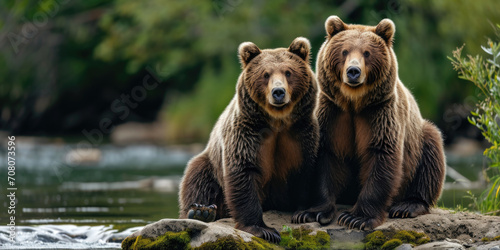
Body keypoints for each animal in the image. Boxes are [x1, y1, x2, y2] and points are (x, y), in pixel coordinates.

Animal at [180, 37, 320, 242]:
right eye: (265, 74)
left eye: (288, 72)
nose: (278, 92)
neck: (277, 122)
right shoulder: (246, 133)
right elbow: (243, 172)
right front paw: (264, 230)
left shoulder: (302, 135)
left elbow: (305, 171)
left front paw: (303, 213)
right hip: (210, 164)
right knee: (198, 180)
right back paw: (201, 212)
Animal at [292, 15, 448, 230]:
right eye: (344, 51)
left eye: (367, 53)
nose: (353, 71)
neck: (353, 102)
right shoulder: (332, 113)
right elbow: (326, 156)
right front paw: (312, 213)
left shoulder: (380, 113)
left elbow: (381, 156)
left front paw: (356, 218)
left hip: (419, 137)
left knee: (431, 155)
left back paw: (408, 206)